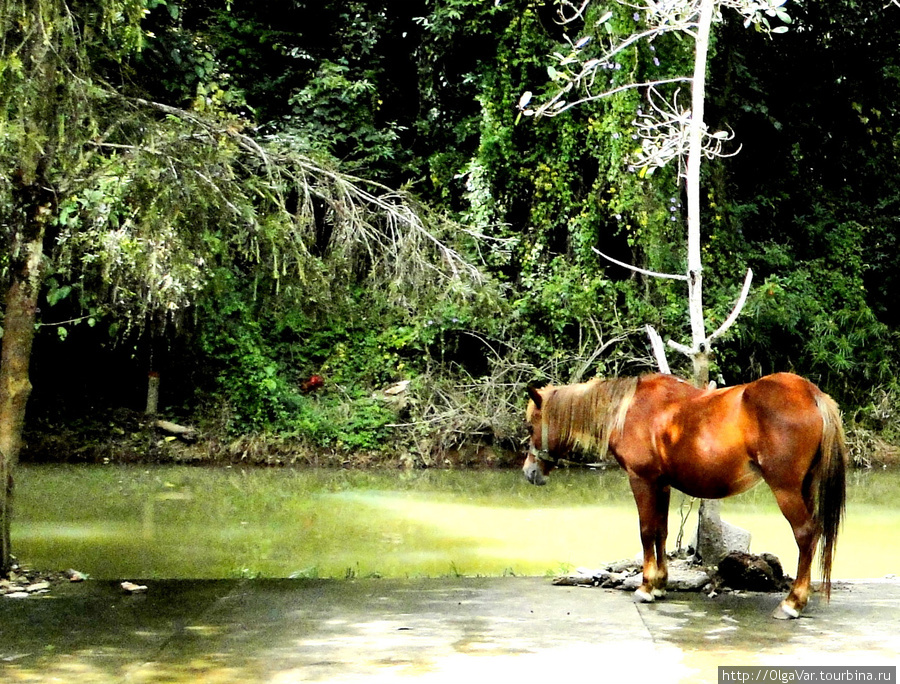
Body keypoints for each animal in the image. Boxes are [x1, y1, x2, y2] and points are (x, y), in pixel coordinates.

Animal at [524, 374, 848, 620]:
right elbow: (661, 532)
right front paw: (660, 584)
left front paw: (645, 587)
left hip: (786, 490)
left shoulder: (641, 481)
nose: (529, 472)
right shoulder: (661, 485)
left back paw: (792, 603)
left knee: (805, 534)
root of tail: (810, 392)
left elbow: (646, 531)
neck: (629, 410)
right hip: (805, 487)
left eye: (530, 426)